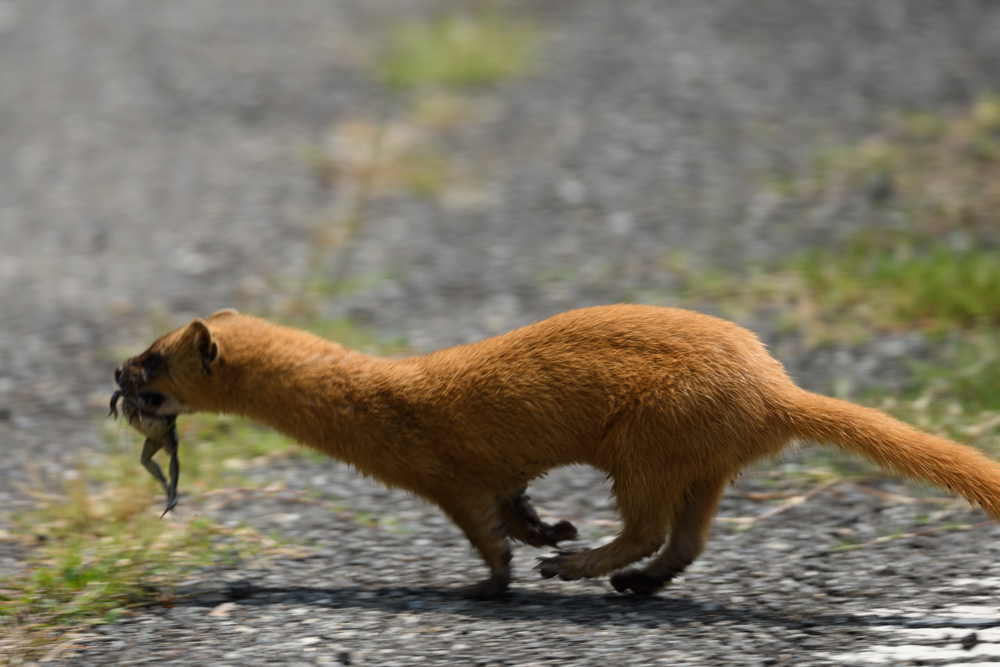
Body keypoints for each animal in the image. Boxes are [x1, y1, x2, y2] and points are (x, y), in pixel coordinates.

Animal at [113, 306, 1000, 600]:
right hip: (704, 458)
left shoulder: (442, 470)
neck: (374, 402)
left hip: (647, 435)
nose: (116, 374)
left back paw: (583, 568)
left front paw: (496, 578)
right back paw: (633, 581)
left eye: (154, 359)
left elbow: (487, 529)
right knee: (688, 535)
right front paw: (552, 530)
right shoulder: (501, 473)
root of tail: (770, 382)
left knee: (649, 523)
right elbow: (518, 505)